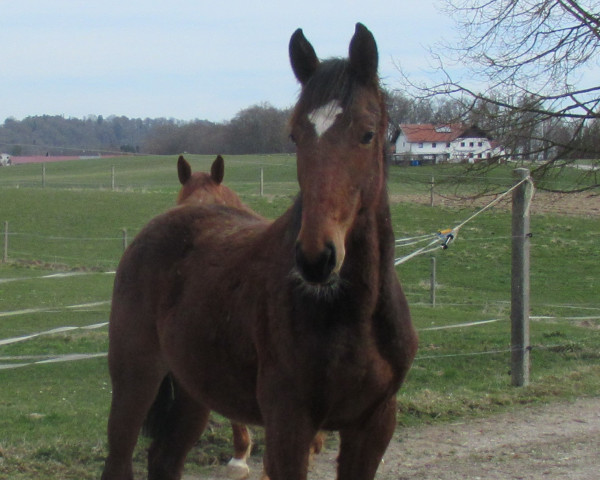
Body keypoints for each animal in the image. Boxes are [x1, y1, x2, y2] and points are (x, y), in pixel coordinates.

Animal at [101, 23, 418, 480]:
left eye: (367, 133)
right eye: (294, 135)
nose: (316, 258)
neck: (353, 314)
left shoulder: (374, 425)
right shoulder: (289, 425)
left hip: (195, 391)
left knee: (164, 459)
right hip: (136, 379)